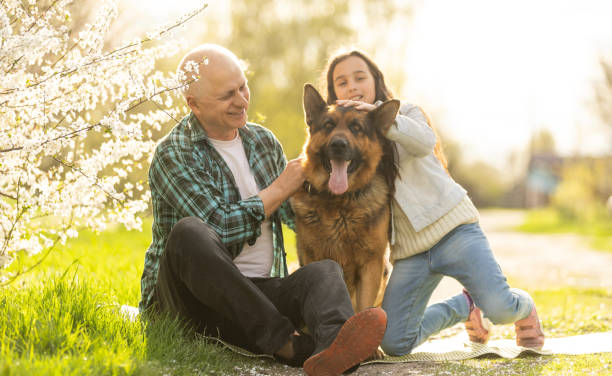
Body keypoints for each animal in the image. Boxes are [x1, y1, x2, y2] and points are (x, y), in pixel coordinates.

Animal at [292, 85, 402, 312]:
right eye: (328, 125)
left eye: (356, 128)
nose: (338, 144)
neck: (339, 203)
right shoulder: (314, 259)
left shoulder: (370, 266)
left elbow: (362, 308)